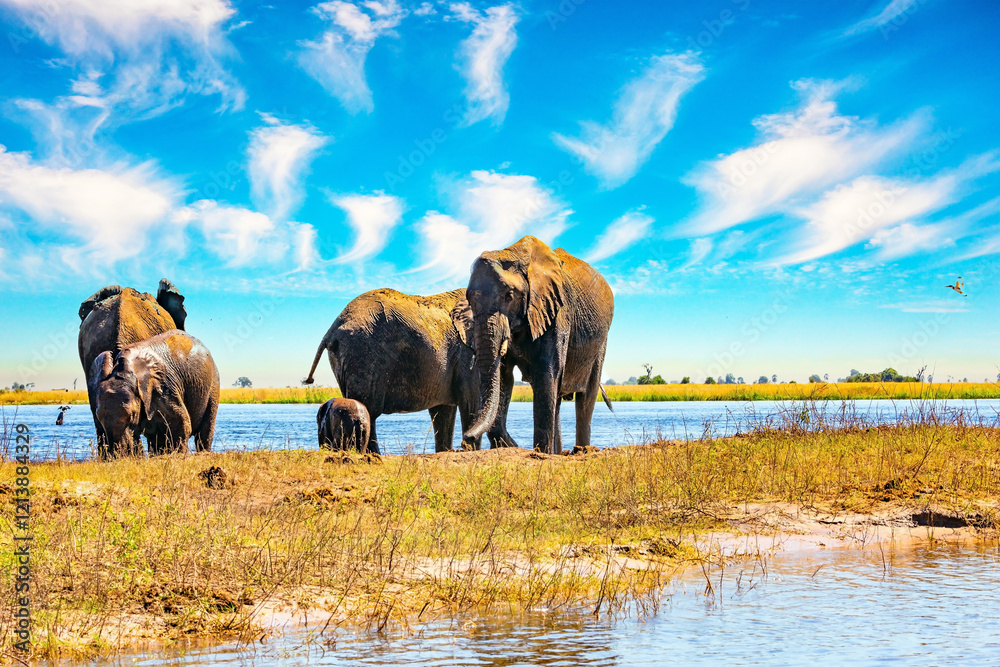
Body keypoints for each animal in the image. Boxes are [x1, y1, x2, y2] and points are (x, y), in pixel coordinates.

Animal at [88, 330, 220, 457]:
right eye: (99, 417)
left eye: (131, 416)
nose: (118, 456)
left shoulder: (163, 388)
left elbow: (182, 423)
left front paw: (179, 454)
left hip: (213, 384)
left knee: (205, 429)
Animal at [303, 288, 485, 454]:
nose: (462, 446)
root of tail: (331, 329)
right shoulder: (466, 352)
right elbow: (471, 401)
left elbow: (443, 410)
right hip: (363, 353)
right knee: (369, 409)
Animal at [453, 236, 614, 454]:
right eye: (469, 299)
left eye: (509, 296)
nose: (467, 438)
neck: (514, 253)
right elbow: (504, 378)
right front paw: (513, 446)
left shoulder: (557, 311)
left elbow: (546, 374)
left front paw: (538, 452)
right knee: (558, 399)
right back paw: (559, 453)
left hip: (600, 341)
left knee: (586, 397)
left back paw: (581, 450)